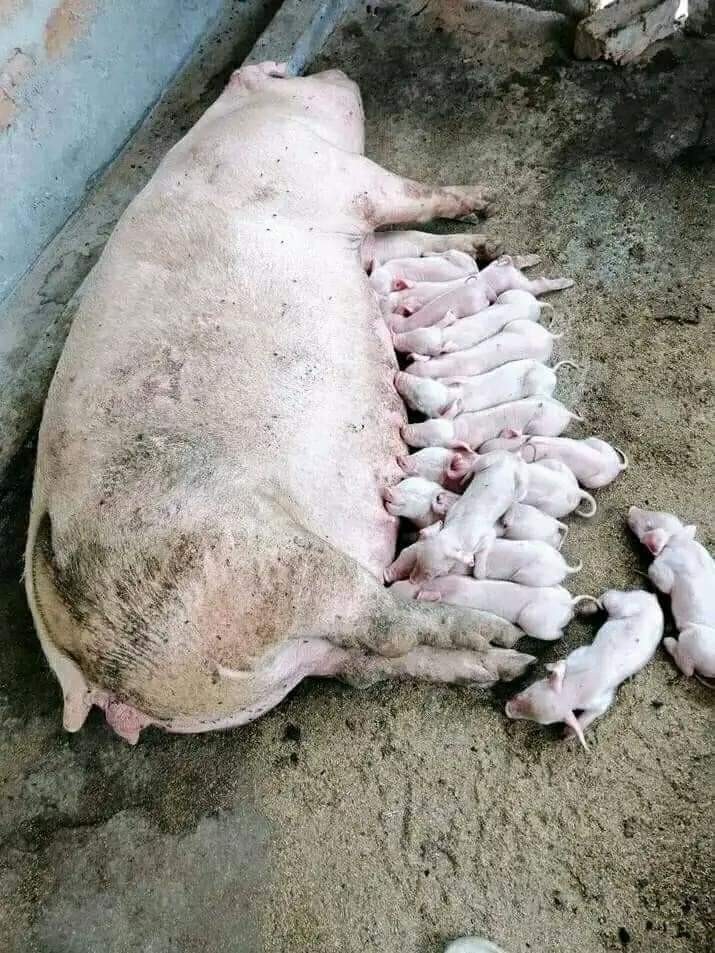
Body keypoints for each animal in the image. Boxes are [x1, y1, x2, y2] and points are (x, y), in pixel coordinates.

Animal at [391, 288, 547, 354]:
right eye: (417, 331)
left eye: (420, 351)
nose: (393, 338)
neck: (447, 336)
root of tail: (537, 303)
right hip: (511, 294)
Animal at [402, 397, 582, 450]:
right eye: (429, 420)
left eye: (429, 443)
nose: (403, 428)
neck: (457, 429)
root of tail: (566, 413)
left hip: (544, 429)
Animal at [408, 452, 529, 583]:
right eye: (417, 559)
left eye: (430, 573)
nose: (411, 581)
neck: (457, 533)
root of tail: (511, 456)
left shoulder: (489, 534)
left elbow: (481, 563)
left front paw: (481, 575)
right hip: (486, 460)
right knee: (473, 468)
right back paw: (465, 481)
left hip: (523, 482)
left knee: (516, 499)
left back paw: (507, 521)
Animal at [506, 589, 664, 750]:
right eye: (528, 691)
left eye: (543, 722)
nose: (507, 710)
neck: (577, 686)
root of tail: (653, 599)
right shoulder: (577, 655)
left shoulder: (603, 699)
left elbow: (595, 712)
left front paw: (565, 736)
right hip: (620, 602)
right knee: (608, 596)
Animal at [628, 507, 715, 679]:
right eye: (654, 512)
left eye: (649, 525)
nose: (631, 508)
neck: (677, 541)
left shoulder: (665, 571)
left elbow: (661, 580)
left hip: (694, 640)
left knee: (688, 669)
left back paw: (668, 641)